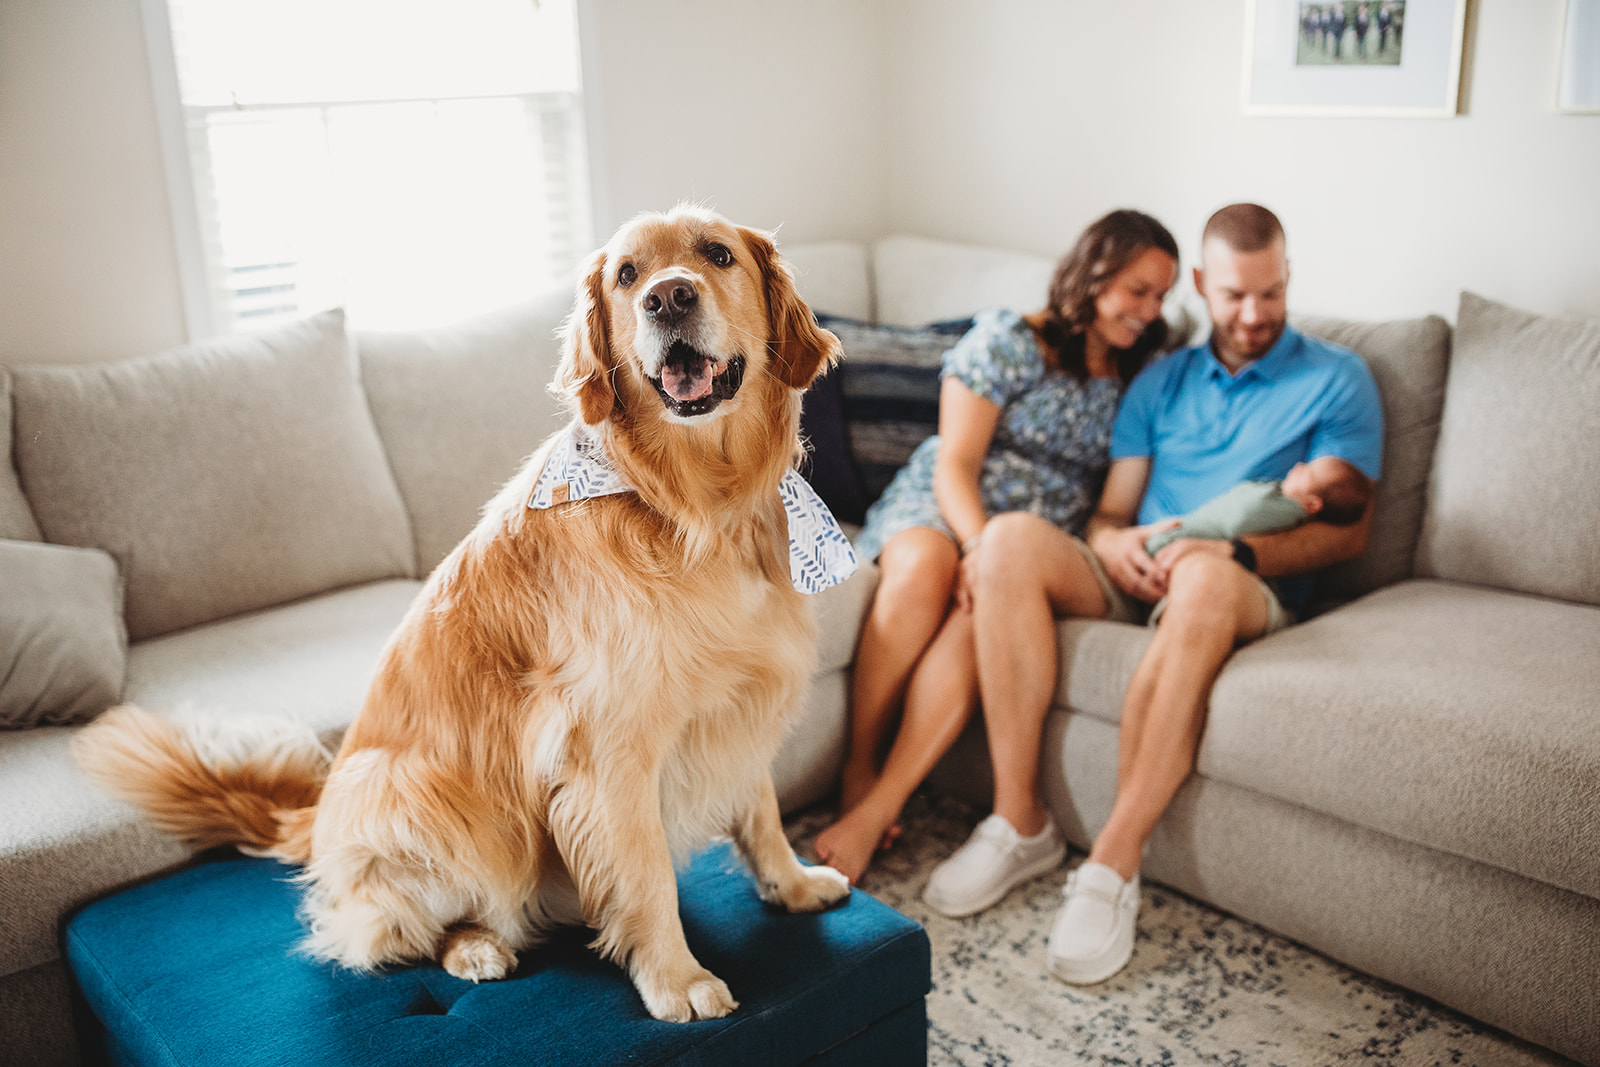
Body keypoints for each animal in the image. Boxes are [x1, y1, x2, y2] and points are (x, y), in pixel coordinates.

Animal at [73, 204, 857, 1023]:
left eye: (717, 254)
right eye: (627, 275)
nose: (668, 299)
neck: (691, 505)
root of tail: (313, 821)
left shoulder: (743, 697)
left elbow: (761, 807)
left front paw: (792, 883)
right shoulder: (607, 748)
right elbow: (644, 875)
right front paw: (676, 978)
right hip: (416, 793)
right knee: (387, 931)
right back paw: (475, 947)